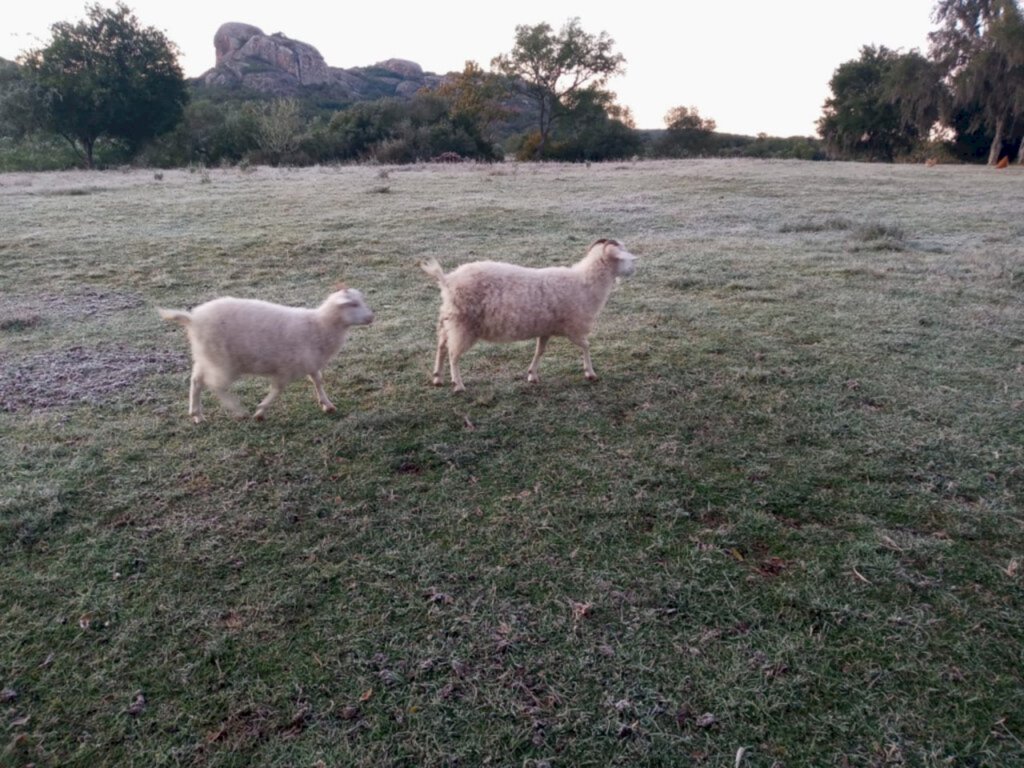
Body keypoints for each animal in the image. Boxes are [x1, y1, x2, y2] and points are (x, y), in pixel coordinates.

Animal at [161, 286, 378, 423]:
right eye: (353, 304)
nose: (371, 317)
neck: (320, 325)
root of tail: (192, 319)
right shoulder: (286, 369)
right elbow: (277, 390)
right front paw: (260, 411)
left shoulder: (309, 362)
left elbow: (318, 380)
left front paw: (327, 404)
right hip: (224, 362)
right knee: (216, 386)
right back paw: (238, 411)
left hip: (206, 357)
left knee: (196, 381)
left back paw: (196, 414)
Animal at [419, 239, 634, 393]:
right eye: (622, 258)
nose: (634, 269)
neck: (585, 282)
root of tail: (447, 280)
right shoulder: (573, 327)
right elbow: (586, 346)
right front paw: (590, 373)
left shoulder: (546, 329)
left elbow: (540, 351)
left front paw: (532, 375)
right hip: (463, 325)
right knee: (453, 354)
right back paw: (458, 384)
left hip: (449, 320)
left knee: (441, 347)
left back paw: (437, 377)